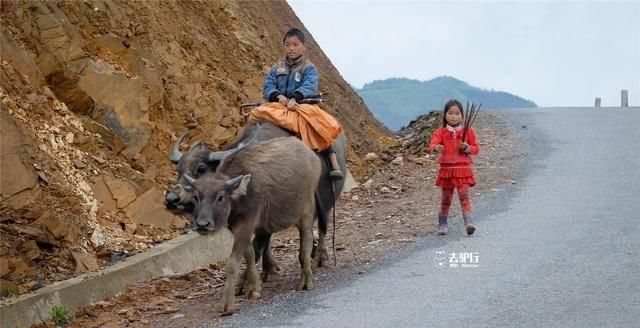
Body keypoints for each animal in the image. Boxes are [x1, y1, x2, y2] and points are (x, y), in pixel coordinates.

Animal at [186, 136, 322, 312]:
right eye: (196, 197)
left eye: (220, 197)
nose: (202, 224)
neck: (240, 196)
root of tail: (311, 154)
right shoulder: (238, 228)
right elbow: (249, 255)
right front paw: (253, 288)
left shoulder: (246, 226)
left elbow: (232, 264)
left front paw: (226, 304)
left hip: (306, 212)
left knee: (306, 243)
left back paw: (306, 281)